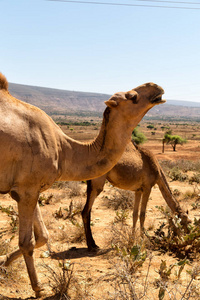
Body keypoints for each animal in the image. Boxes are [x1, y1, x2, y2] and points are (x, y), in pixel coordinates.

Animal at [0, 73, 165, 298]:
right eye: (132, 97)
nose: (156, 86)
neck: (63, 150)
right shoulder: (26, 189)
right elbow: (28, 242)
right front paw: (38, 288)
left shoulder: (29, 189)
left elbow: (43, 236)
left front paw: (4, 262)